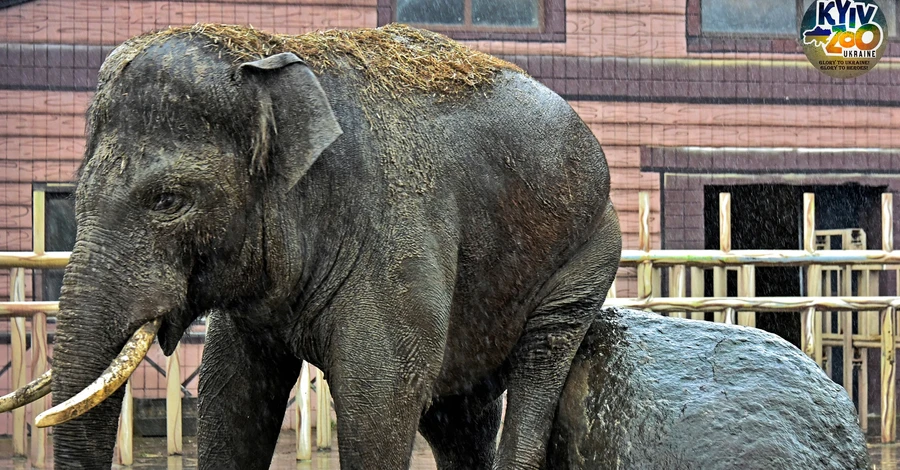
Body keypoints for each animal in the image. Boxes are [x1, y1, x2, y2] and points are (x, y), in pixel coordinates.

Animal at [5, 23, 620, 470]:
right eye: (74, 198)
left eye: (167, 200)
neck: (277, 59)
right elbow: (232, 396)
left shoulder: (398, 241)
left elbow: (378, 403)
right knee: (456, 417)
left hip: (588, 254)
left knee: (540, 363)